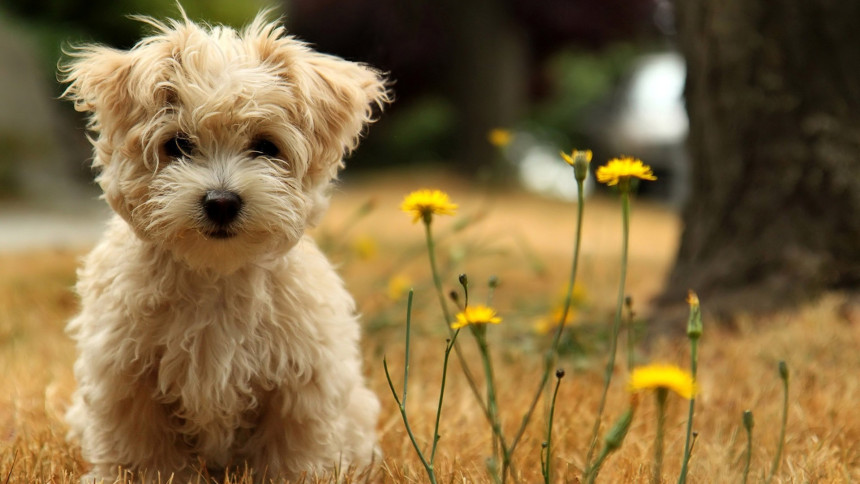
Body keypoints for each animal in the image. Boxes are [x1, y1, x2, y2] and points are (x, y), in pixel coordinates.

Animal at [63, 9, 390, 482]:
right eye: (178, 145)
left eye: (266, 146)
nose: (221, 201)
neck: (215, 275)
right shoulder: (124, 373)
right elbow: (144, 452)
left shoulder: (301, 380)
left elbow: (291, 451)